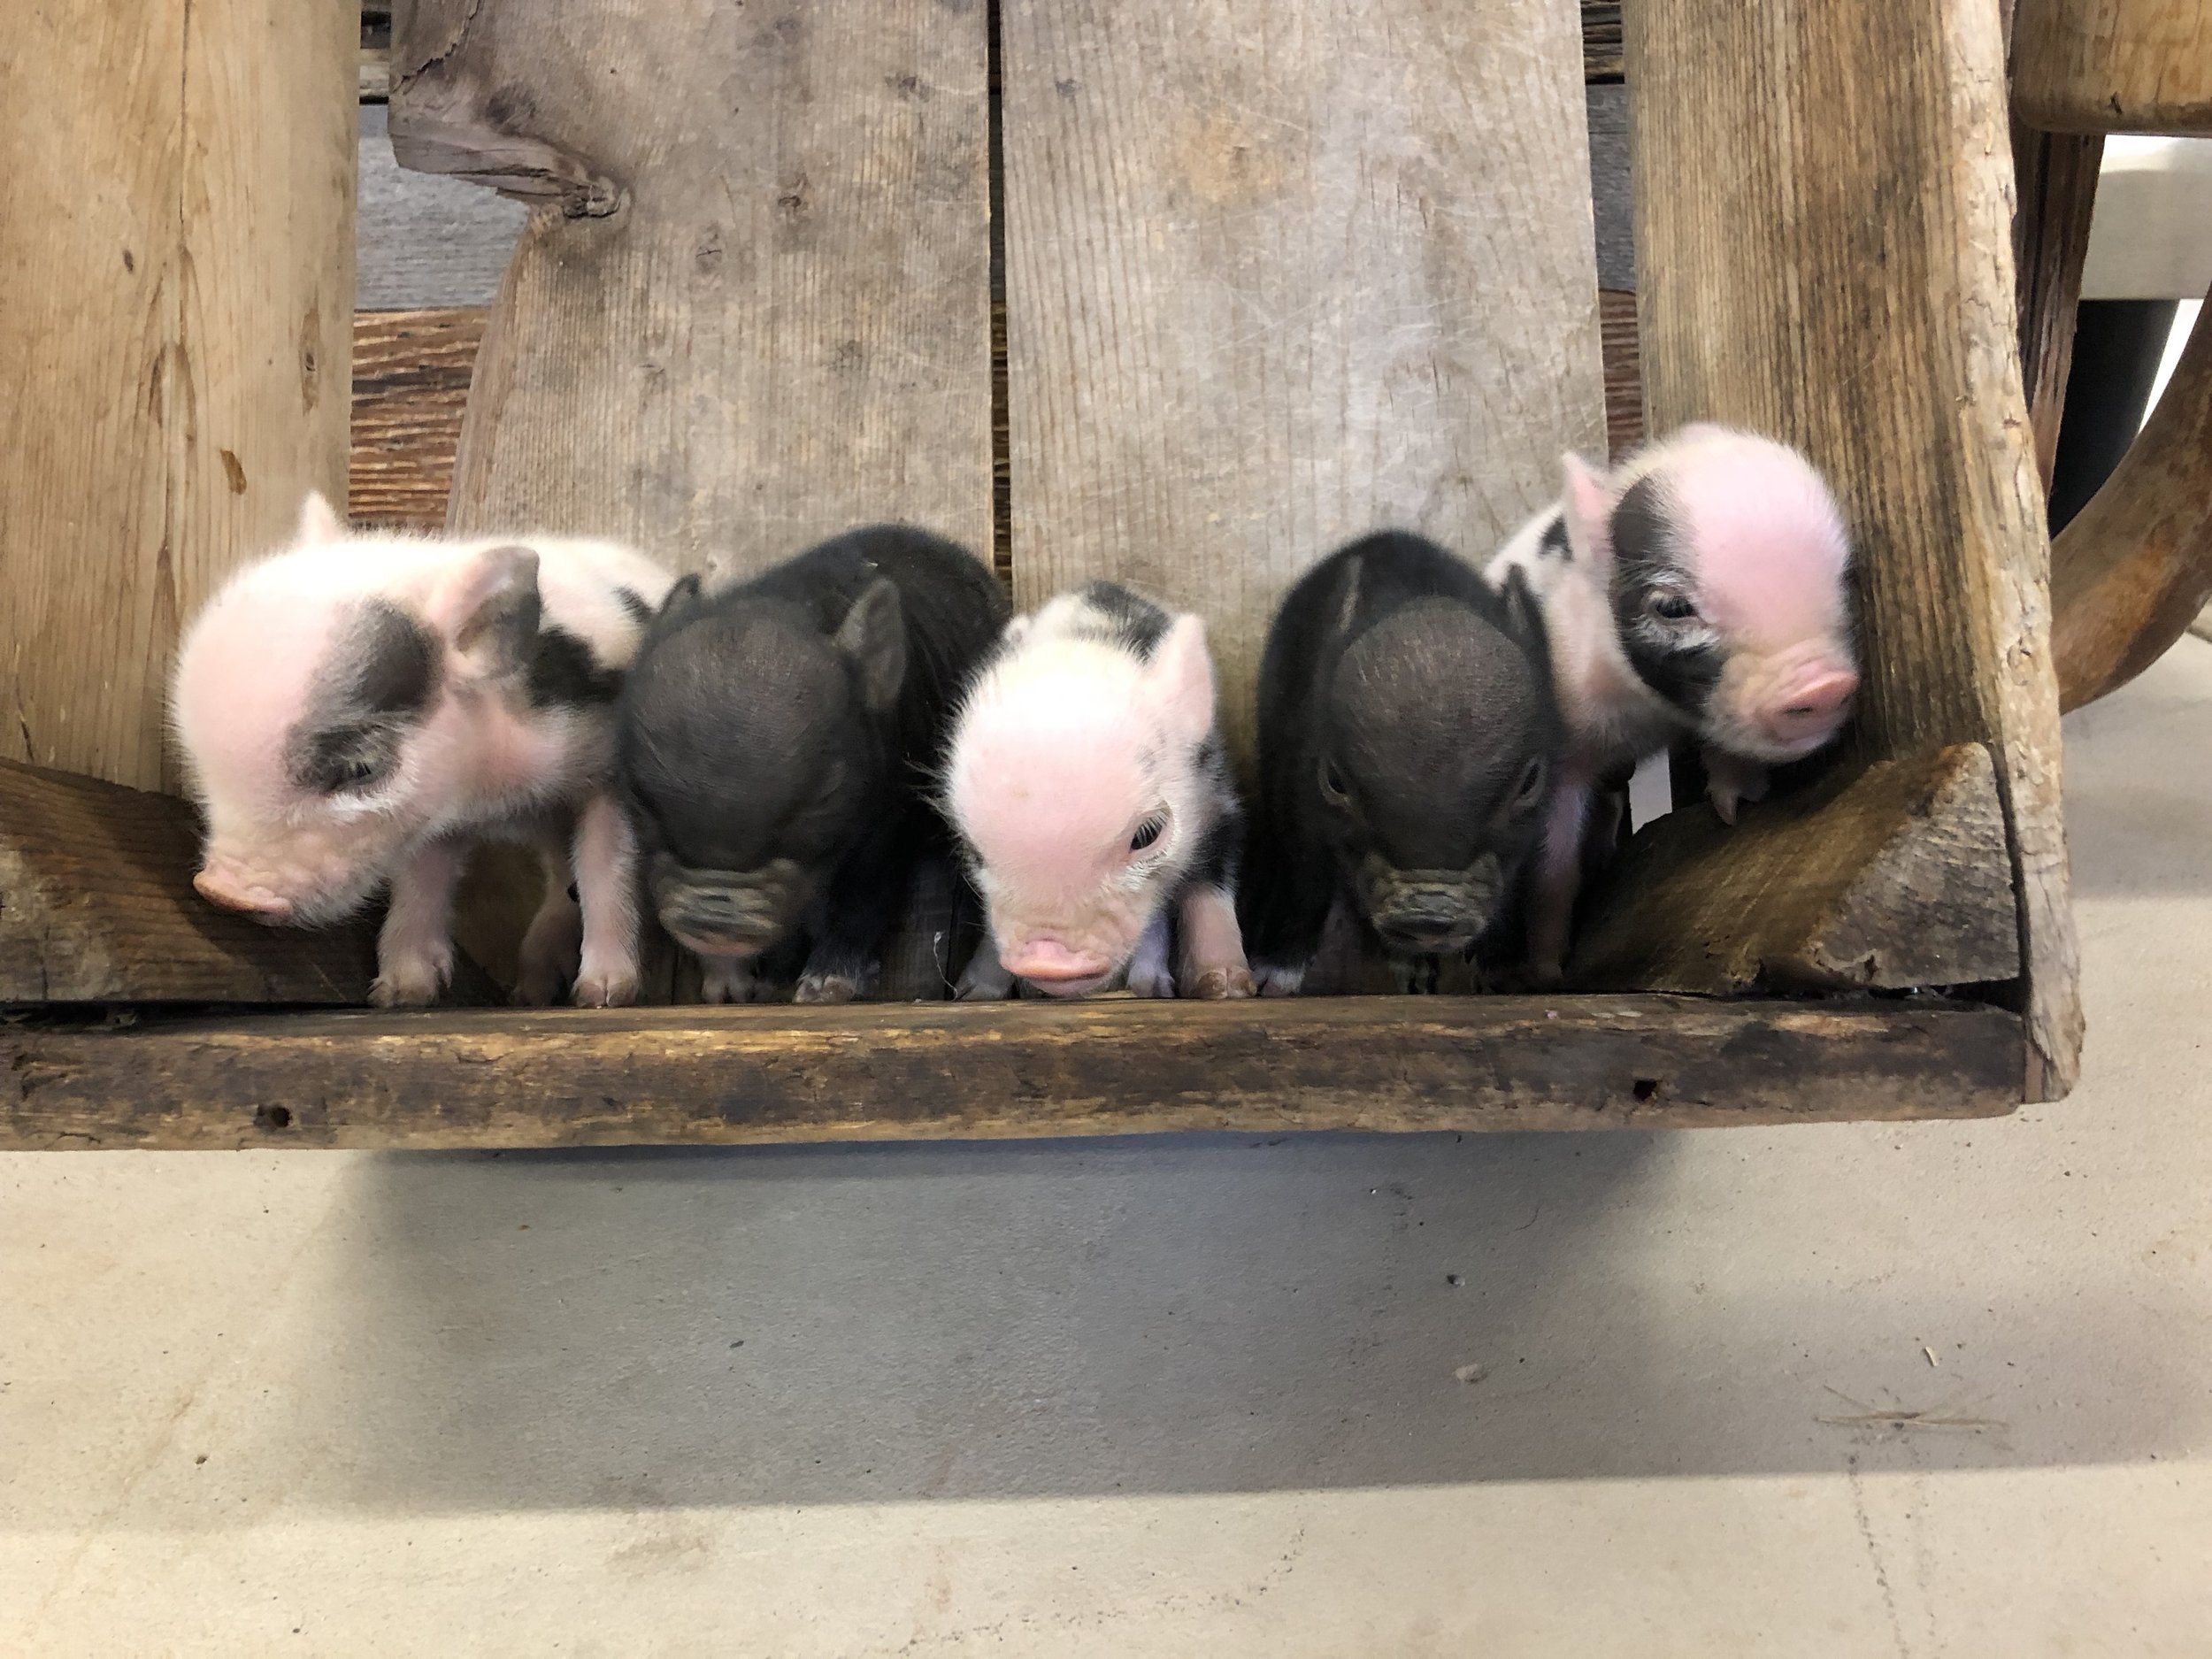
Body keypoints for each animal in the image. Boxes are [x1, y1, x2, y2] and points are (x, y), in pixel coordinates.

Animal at [172, 491, 677, 1008]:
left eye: (361, 768)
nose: (221, 892)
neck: (492, 797)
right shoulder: (433, 816)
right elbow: (422, 878)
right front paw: (398, 995)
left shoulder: (608, 776)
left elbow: (605, 865)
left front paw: (603, 995)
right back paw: (528, 993)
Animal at [615, 524, 1008, 1005]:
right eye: (639, 799)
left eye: (819, 801)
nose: (715, 918)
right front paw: (745, 990)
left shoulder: (886, 824)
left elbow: (863, 895)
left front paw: (824, 991)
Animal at [942, 581, 1251, 1001]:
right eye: (973, 850)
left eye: (1148, 835)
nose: (1046, 957)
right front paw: (972, 995)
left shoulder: (1218, 804)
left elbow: (1209, 887)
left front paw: (1226, 988)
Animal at [1239, 532, 1562, 994]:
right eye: (1335, 781)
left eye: (1530, 782)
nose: (1428, 912)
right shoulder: (1298, 794)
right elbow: (1305, 875)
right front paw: (1272, 981)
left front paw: (1506, 976)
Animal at [1485, 422, 1860, 981]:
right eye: (1672, 607)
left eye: (1843, 580)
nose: (1822, 685)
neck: (1646, 715)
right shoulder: (1563, 743)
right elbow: (1554, 867)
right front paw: (1548, 973)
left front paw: (1736, 808)